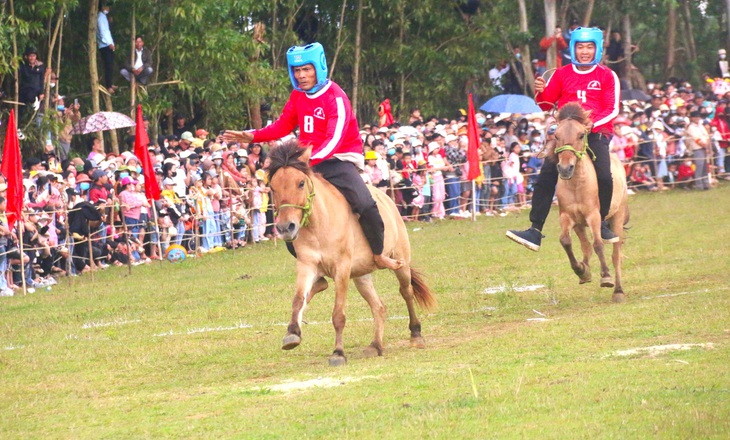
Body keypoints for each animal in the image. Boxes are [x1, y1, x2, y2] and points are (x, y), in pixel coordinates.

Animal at [268, 141, 436, 364]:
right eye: (272, 187)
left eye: (301, 183)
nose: (286, 227)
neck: (319, 223)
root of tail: (389, 200)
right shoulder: (307, 264)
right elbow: (298, 300)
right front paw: (292, 334)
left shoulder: (342, 268)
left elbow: (338, 314)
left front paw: (338, 353)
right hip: (361, 275)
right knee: (379, 307)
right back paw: (375, 345)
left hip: (401, 260)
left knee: (406, 292)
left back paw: (416, 335)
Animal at [552, 103, 624, 302]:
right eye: (556, 135)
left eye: (580, 135)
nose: (565, 168)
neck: (577, 183)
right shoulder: (567, 216)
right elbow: (565, 241)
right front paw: (581, 270)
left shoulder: (593, 216)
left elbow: (598, 244)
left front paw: (606, 277)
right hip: (579, 224)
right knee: (585, 246)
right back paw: (584, 270)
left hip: (617, 217)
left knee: (616, 255)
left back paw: (618, 291)